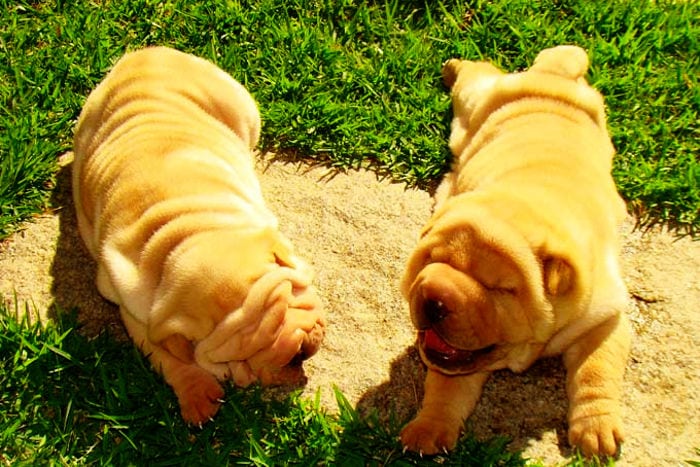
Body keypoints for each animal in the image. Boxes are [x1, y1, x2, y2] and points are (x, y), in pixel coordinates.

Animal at [74, 46, 326, 424]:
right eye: (235, 359)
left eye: (289, 299)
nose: (296, 354)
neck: (184, 235)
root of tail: (145, 53)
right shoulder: (136, 311)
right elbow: (167, 357)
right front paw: (196, 393)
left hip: (239, 103)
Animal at [400, 45, 636, 458]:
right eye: (433, 260)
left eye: (501, 289)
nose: (433, 298)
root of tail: (553, 79)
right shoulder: (457, 358)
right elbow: (446, 388)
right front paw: (427, 428)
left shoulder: (605, 319)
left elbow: (596, 370)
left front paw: (596, 431)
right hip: (475, 99)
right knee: (476, 75)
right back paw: (454, 66)